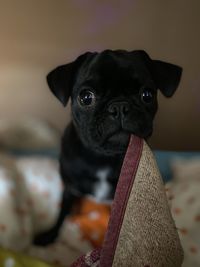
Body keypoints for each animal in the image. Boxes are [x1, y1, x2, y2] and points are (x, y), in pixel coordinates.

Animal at [34, 49, 181, 246]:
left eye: (147, 95)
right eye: (86, 97)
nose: (119, 106)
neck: (103, 158)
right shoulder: (70, 188)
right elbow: (62, 213)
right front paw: (50, 235)